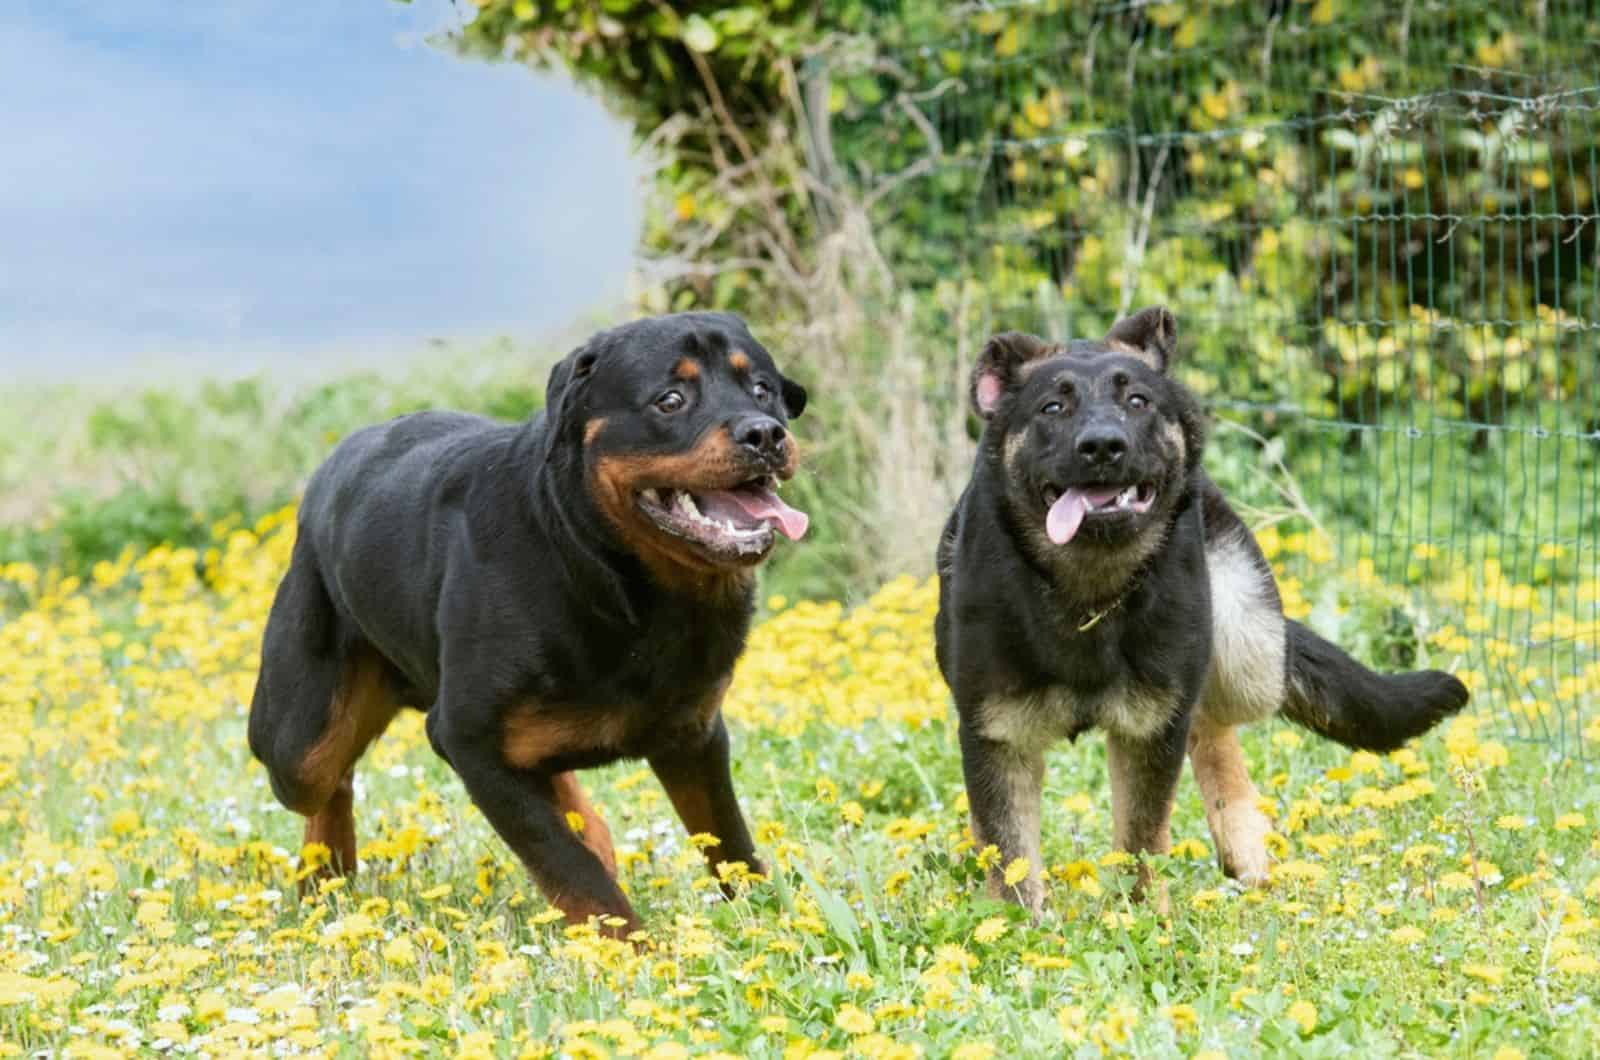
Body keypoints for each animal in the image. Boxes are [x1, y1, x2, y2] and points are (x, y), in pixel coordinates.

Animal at [249, 309, 812, 941]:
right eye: (670, 400)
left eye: (762, 390)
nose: (765, 434)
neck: (618, 582)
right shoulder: (467, 740)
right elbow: (567, 865)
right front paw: (630, 948)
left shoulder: (693, 733)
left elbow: (729, 842)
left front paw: (769, 920)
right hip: (297, 735)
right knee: (327, 775)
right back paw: (325, 874)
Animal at [934, 307, 1465, 915]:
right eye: (1052, 407)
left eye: (1137, 400)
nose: (1104, 446)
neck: (1088, 593)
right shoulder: (999, 738)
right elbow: (1011, 857)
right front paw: (1012, 926)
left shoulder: (1149, 729)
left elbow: (1142, 839)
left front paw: (1142, 919)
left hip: (1247, 644)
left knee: (1213, 722)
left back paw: (1244, 843)